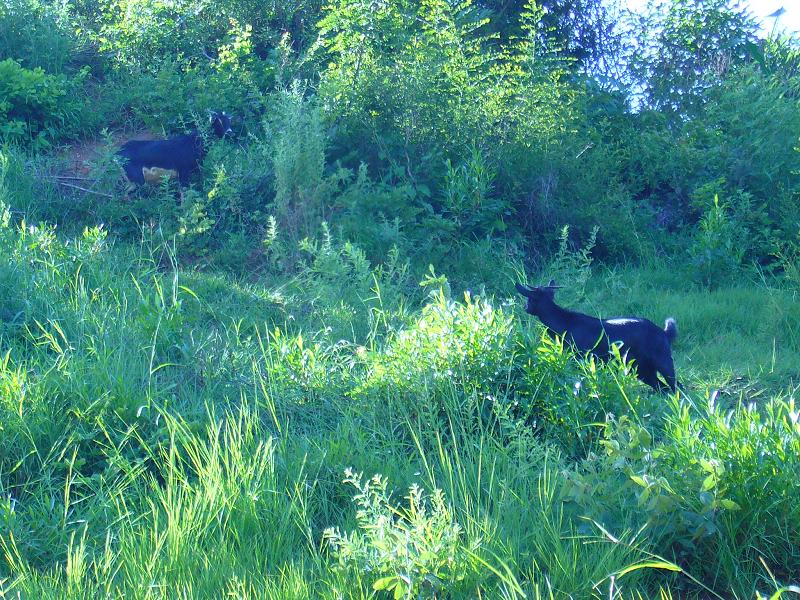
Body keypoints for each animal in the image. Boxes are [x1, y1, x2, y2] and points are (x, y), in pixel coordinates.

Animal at [516, 278, 680, 392]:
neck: (562, 324)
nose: (525, 307)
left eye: (529, 299)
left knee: (676, 386)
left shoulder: (581, 356)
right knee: (663, 388)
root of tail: (665, 333)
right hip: (643, 368)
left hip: (662, 360)